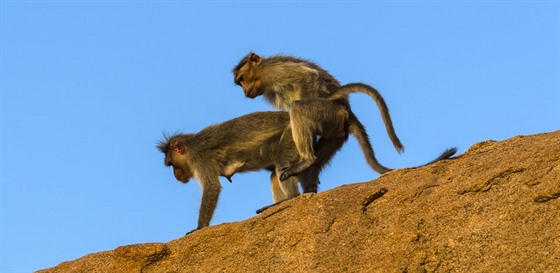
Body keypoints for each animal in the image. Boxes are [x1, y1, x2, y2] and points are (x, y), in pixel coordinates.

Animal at [232, 52, 456, 181]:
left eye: (242, 79)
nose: (244, 91)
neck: (263, 73)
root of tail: (348, 114)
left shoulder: (276, 72)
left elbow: (308, 77)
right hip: (334, 131)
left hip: (328, 113)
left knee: (300, 108)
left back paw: (306, 159)